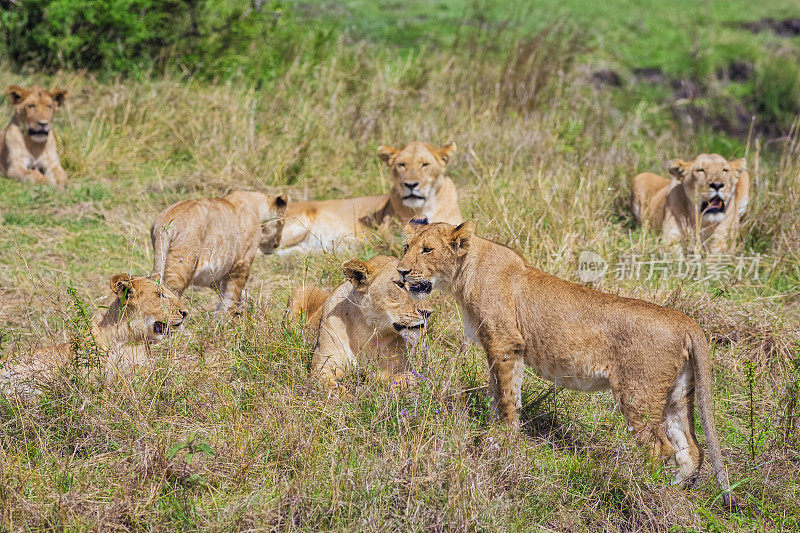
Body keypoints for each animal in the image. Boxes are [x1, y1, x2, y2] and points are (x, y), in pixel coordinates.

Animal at [150, 190, 288, 312]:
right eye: (281, 224)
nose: (277, 245)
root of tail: (165, 223)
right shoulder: (241, 263)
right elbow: (231, 297)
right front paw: (226, 320)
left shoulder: (216, 274)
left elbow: (232, 295)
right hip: (181, 268)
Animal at [288, 256, 434, 388]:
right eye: (400, 284)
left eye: (423, 286)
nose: (428, 312)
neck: (366, 330)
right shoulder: (323, 366)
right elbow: (334, 388)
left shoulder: (405, 369)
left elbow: (404, 383)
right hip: (301, 291)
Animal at [398, 218, 736, 510]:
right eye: (406, 246)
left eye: (427, 249)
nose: (401, 272)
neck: (463, 272)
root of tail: (687, 321)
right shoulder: (498, 348)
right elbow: (498, 394)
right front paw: (496, 434)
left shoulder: (506, 344)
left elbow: (507, 399)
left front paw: (503, 443)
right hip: (676, 395)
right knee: (691, 449)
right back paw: (676, 489)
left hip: (637, 394)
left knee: (659, 447)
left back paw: (642, 486)